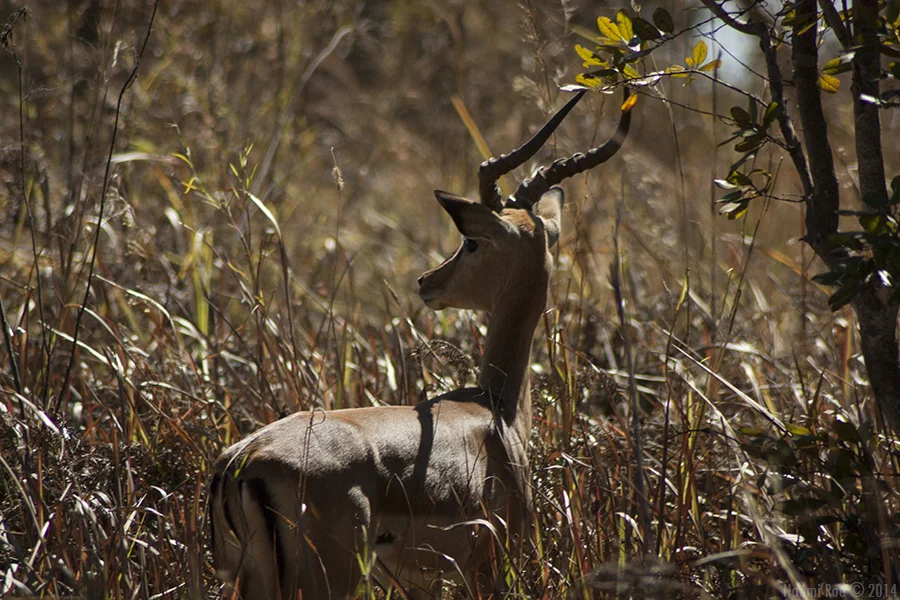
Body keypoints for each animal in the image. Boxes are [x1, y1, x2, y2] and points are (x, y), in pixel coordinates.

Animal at [209, 87, 632, 599]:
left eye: (471, 242)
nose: (426, 281)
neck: (497, 409)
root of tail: (240, 462)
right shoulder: (491, 566)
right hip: (322, 581)